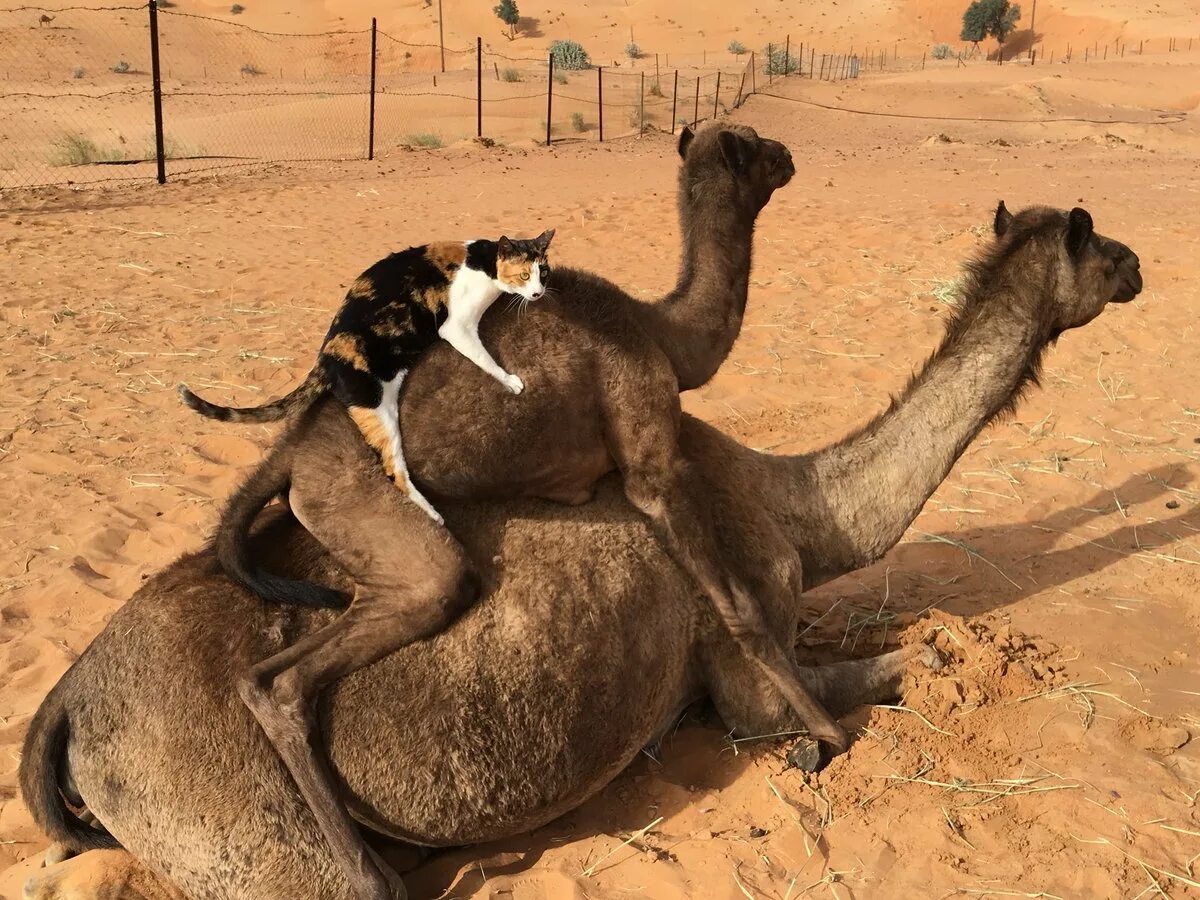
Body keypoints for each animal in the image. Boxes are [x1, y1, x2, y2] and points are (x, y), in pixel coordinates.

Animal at [180, 230, 554, 528]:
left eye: (544, 272)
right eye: (524, 274)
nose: (537, 293)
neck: (484, 263)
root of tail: (326, 358)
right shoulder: (457, 327)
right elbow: (485, 359)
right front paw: (511, 381)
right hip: (379, 415)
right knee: (395, 472)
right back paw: (433, 515)